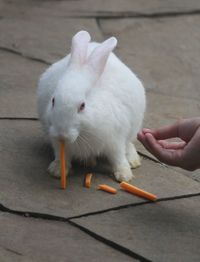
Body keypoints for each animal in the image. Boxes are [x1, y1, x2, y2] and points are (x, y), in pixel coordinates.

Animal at [37, 30, 145, 181]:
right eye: (53, 101)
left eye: (82, 106)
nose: (62, 135)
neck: (84, 132)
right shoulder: (56, 141)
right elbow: (62, 155)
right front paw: (57, 170)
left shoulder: (115, 139)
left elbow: (118, 157)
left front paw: (124, 175)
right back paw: (89, 161)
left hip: (134, 127)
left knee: (128, 144)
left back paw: (133, 161)